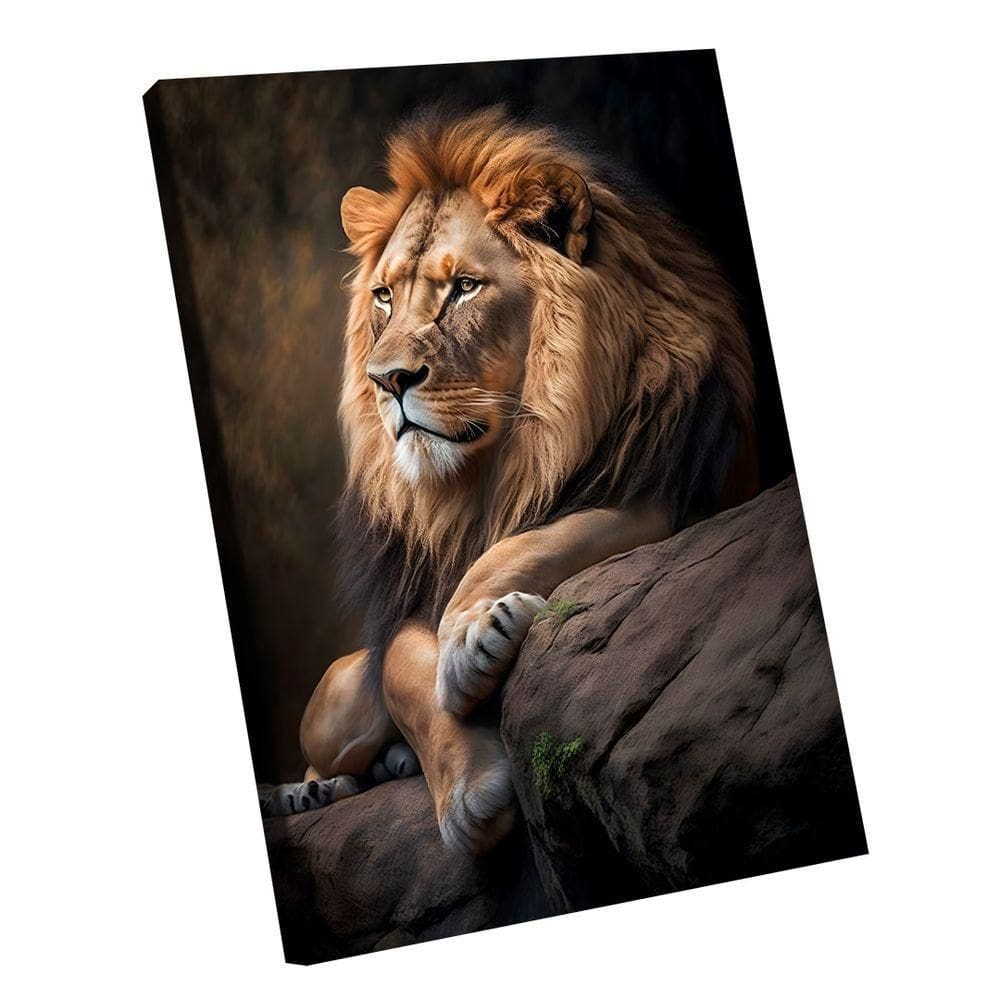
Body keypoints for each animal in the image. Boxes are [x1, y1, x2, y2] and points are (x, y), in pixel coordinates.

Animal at [278, 106, 756, 854]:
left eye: (464, 287)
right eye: (384, 296)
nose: (386, 380)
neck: (494, 474)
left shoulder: (673, 492)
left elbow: (539, 540)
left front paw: (475, 635)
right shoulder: (405, 602)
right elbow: (402, 667)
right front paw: (470, 792)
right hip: (338, 701)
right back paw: (312, 790)